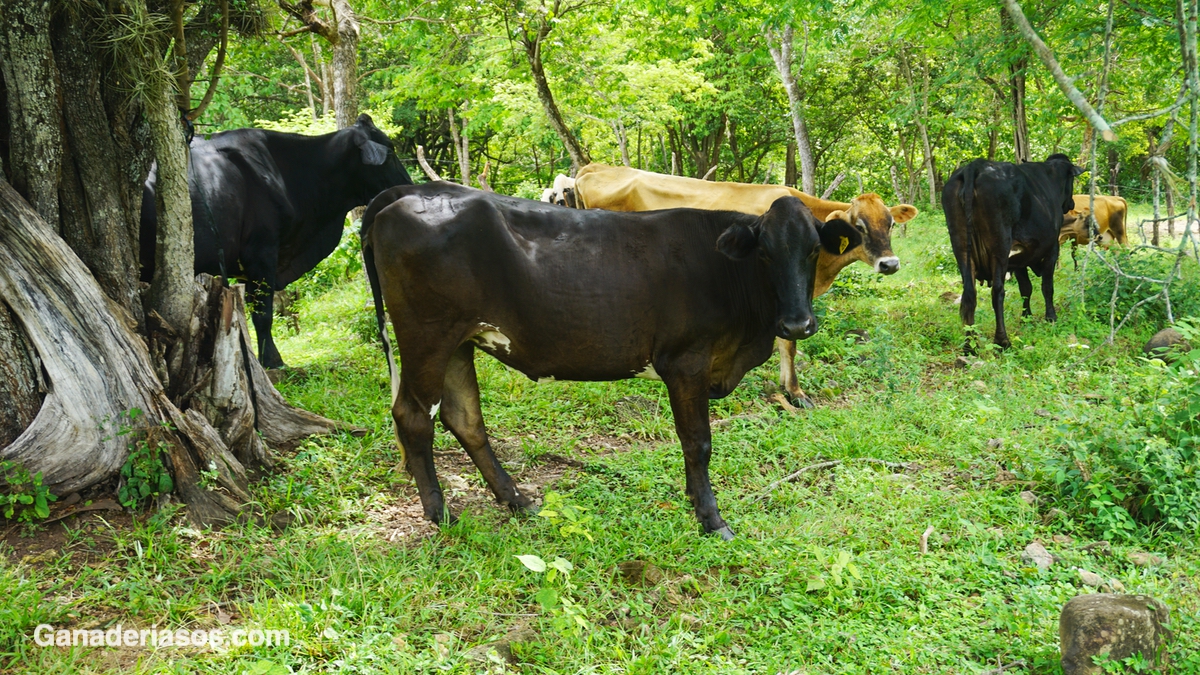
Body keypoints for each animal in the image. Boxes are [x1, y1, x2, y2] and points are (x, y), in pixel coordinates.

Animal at [357, 181, 864, 538]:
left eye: (813, 249)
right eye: (765, 253)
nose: (797, 324)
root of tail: (411, 191)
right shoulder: (686, 362)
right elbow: (698, 442)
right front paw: (711, 518)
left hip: (461, 340)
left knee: (465, 419)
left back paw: (517, 500)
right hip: (427, 335)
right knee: (413, 417)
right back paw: (440, 514)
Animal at [571, 163, 916, 403]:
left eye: (890, 223)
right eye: (859, 226)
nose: (889, 264)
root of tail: (594, 168)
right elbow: (788, 343)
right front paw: (794, 391)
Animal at [940, 153, 1084, 348]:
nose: (1071, 203)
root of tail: (975, 166)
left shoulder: (1019, 258)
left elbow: (1025, 289)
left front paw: (1026, 318)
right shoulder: (1052, 249)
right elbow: (1047, 287)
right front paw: (1051, 317)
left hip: (961, 246)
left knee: (969, 293)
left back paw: (970, 345)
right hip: (1000, 246)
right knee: (997, 292)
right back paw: (1002, 341)